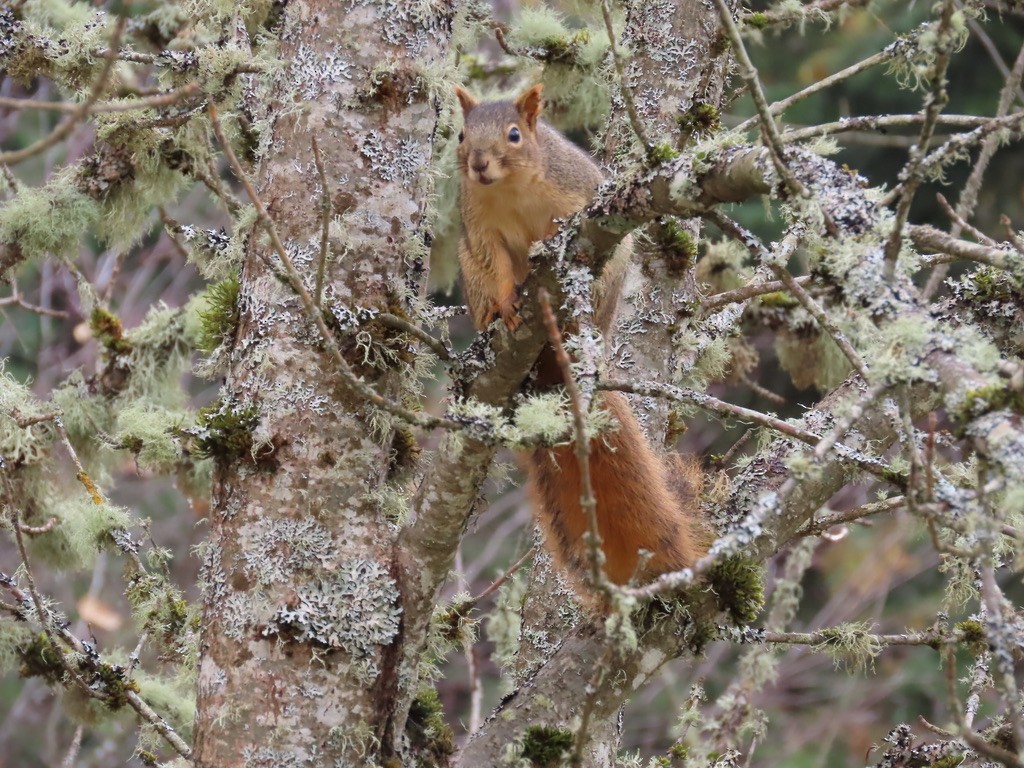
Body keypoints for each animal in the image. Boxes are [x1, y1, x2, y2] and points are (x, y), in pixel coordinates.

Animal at [454, 83, 708, 586]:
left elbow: (569, 222)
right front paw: (506, 302)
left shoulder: (577, 192)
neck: (509, 190)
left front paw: (549, 248)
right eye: (460, 135)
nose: (478, 164)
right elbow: (497, 265)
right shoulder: (480, 229)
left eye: (514, 134)